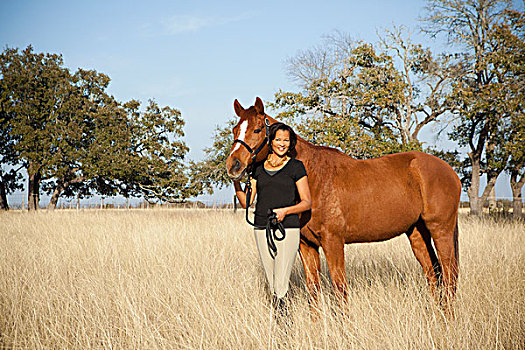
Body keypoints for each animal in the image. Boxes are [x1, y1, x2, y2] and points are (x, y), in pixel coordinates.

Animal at [225, 97, 458, 308]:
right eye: (235, 130)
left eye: (257, 130)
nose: (233, 166)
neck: (314, 177)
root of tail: (449, 170)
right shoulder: (306, 246)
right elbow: (314, 290)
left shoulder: (333, 242)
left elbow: (339, 289)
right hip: (417, 232)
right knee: (433, 274)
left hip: (440, 230)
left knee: (449, 275)